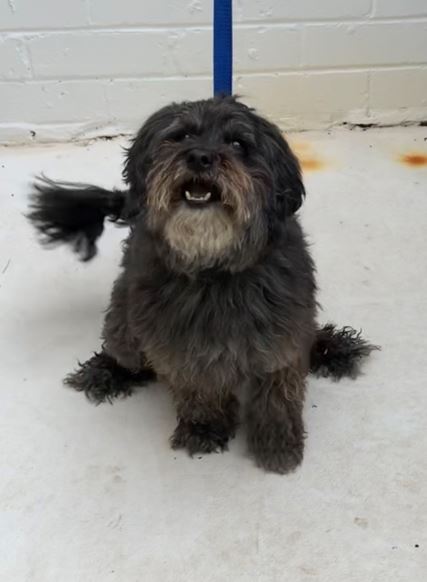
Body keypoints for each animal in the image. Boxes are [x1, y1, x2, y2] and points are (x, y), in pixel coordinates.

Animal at [28, 95, 376, 473]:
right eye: (180, 136)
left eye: (238, 144)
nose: (199, 157)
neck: (214, 269)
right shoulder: (177, 342)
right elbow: (198, 386)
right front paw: (205, 427)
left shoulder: (282, 332)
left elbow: (278, 392)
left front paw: (277, 442)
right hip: (124, 321)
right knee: (126, 350)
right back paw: (107, 371)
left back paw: (332, 348)